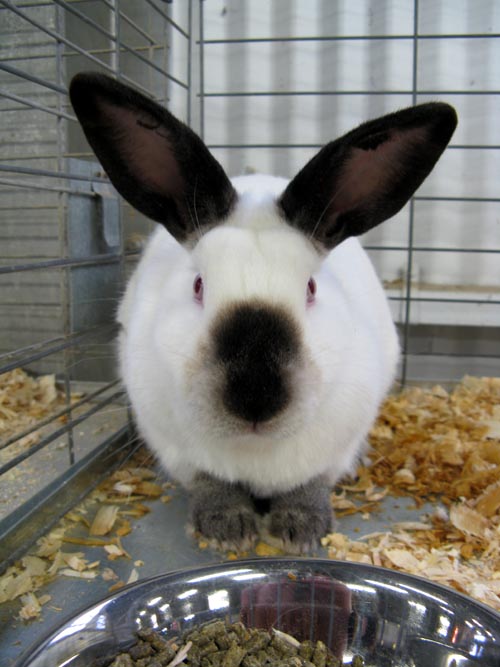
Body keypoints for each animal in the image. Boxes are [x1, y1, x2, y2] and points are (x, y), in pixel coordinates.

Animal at [69, 74, 458, 552]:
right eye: (198, 286)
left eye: (310, 288)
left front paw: (300, 529)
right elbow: (210, 482)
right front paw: (227, 528)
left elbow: (309, 485)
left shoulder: (335, 446)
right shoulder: (173, 444)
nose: (255, 398)